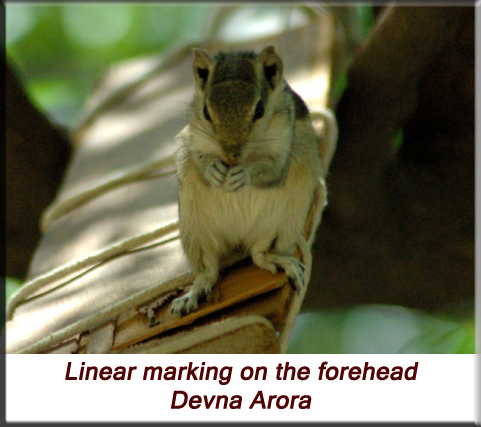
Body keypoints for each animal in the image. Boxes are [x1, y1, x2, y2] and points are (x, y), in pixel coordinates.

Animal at [171, 45, 336, 316]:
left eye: (259, 109)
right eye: (205, 111)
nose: (231, 155)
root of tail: (240, 241)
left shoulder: (285, 141)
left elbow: (272, 170)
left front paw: (243, 174)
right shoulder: (193, 140)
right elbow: (201, 158)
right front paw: (214, 170)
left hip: (285, 224)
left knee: (259, 255)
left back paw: (279, 260)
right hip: (195, 230)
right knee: (209, 271)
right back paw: (192, 294)